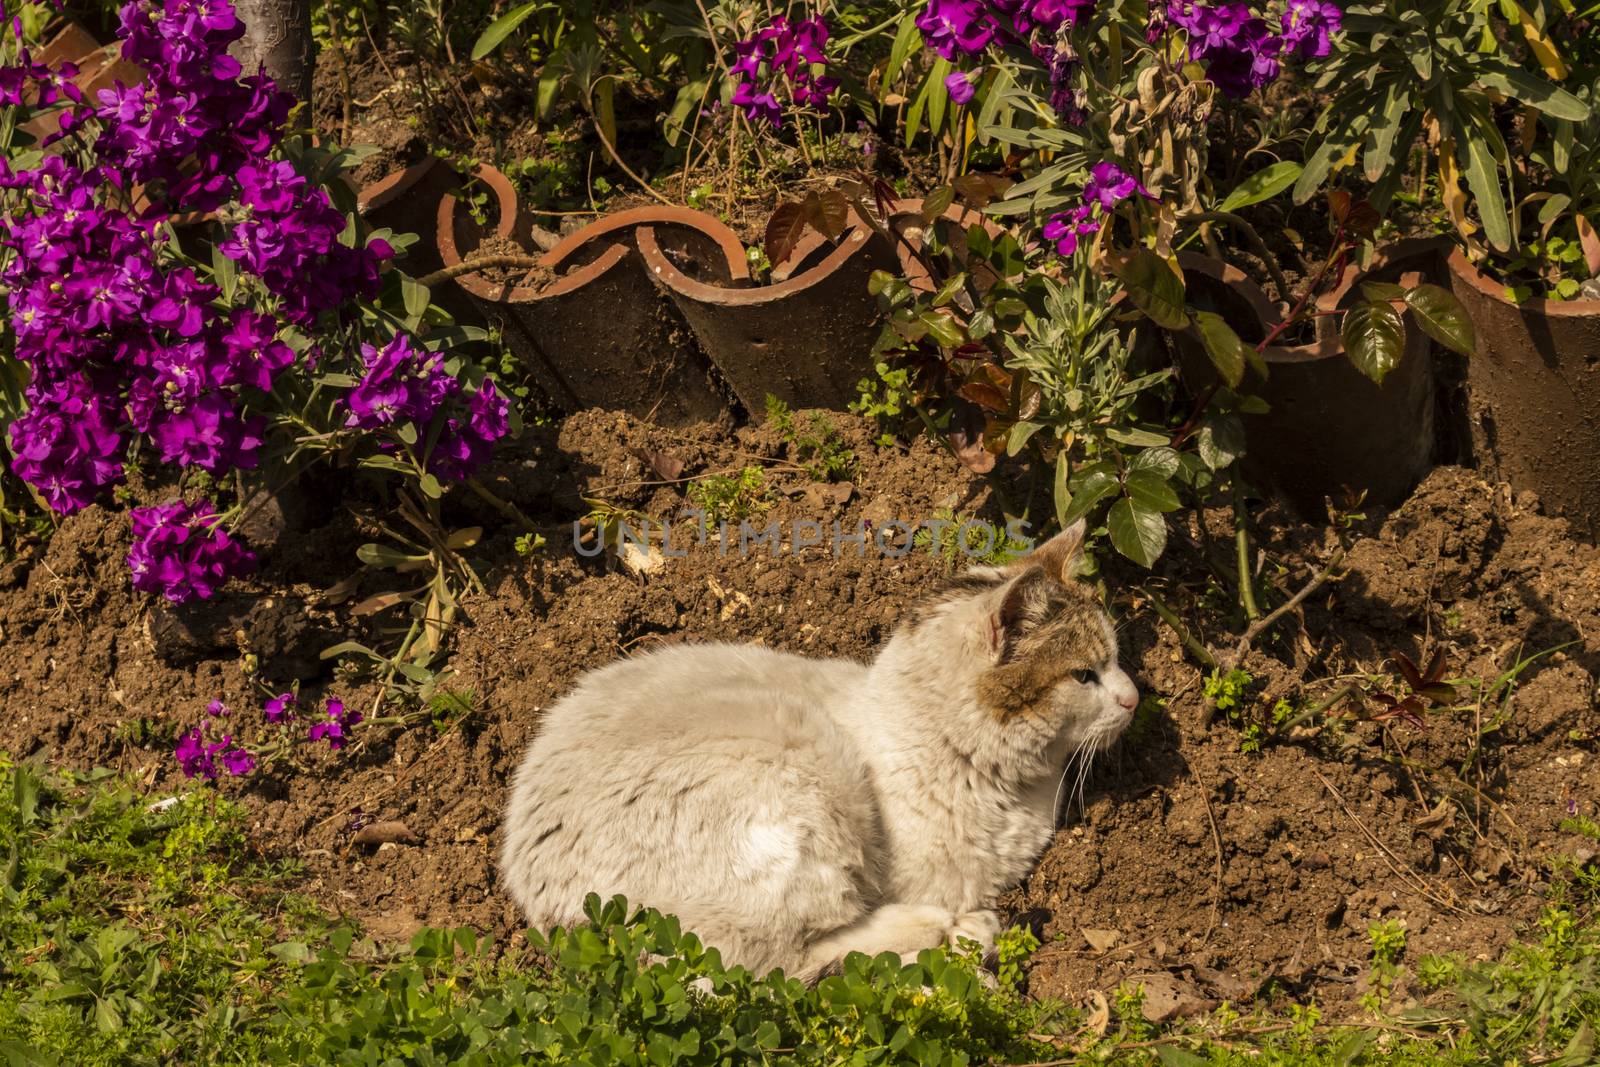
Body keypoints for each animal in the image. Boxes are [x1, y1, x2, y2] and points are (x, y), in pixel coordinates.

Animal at [499, 521, 1139, 979]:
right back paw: (952, 931)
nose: (1135, 697)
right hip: (803, 783)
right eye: (1084, 675)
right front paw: (956, 927)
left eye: (1113, 659)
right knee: (777, 964)